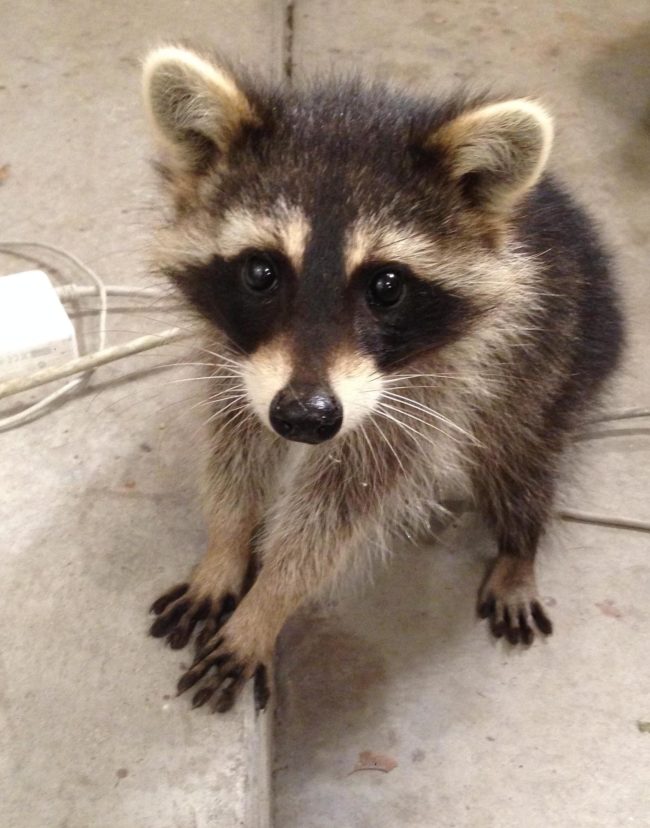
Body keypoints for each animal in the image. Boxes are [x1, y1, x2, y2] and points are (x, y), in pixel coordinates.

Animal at [143, 45, 624, 712]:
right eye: (261, 272)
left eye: (387, 285)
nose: (305, 417)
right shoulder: (236, 356)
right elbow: (235, 447)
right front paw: (227, 546)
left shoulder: (426, 389)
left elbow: (337, 514)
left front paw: (267, 605)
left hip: (556, 367)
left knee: (518, 458)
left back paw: (519, 546)